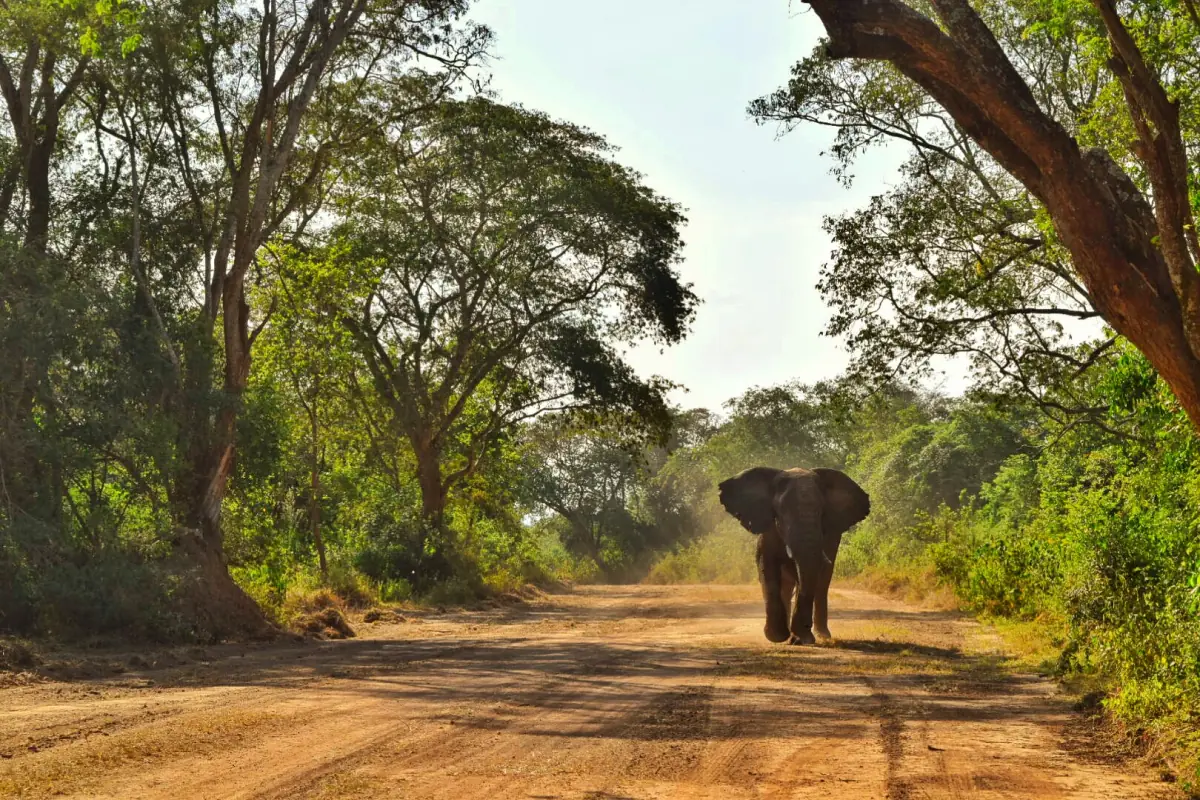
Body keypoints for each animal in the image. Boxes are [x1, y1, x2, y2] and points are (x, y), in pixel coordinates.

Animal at [718, 467, 870, 645]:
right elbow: (766, 566)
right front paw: (777, 637)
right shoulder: (769, 530)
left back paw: (821, 635)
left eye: (821, 511)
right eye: (782, 511)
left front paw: (800, 639)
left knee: (821, 583)